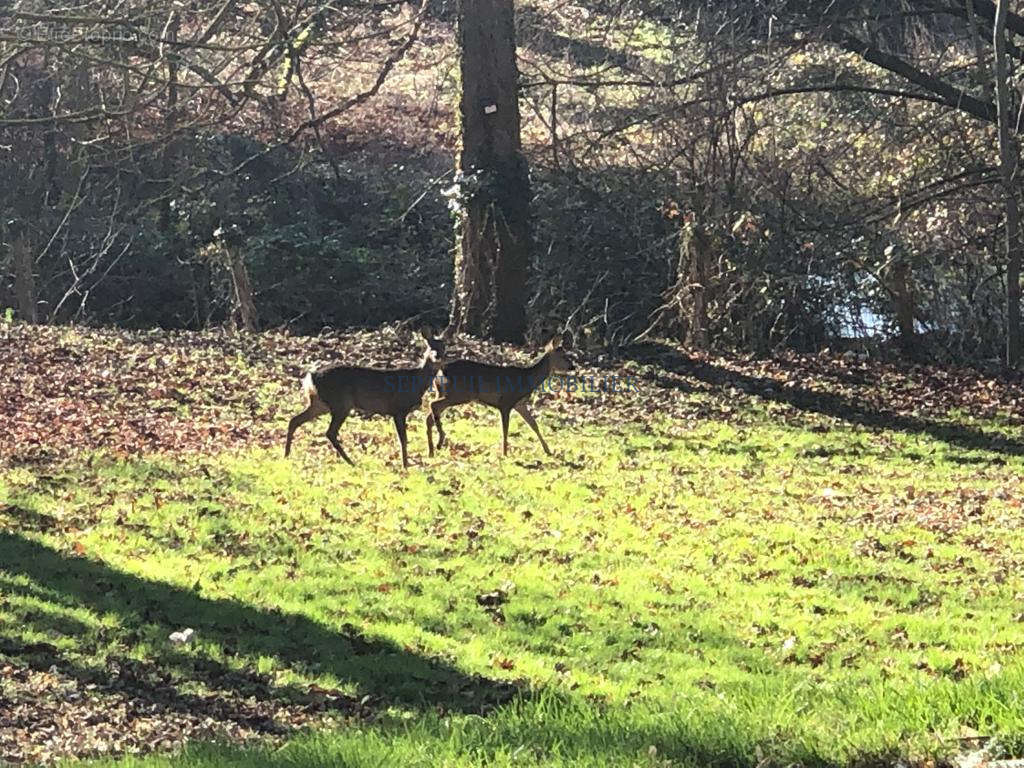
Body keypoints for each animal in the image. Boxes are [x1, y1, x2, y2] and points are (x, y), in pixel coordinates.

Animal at [288, 331, 448, 468]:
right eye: (430, 346)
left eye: (443, 346)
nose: (437, 356)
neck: (416, 383)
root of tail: (311, 377)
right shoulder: (398, 409)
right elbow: (403, 439)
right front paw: (405, 465)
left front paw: (406, 463)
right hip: (340, 403)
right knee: (329, 432)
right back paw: (351, 462)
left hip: (320, 403)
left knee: (295, 420)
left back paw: (287, 455)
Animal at [425, 335, 577, 456]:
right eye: (564, 356)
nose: (572, 367)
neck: (527, 380)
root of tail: (440, 371)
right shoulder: (506, 402)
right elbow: (505, 429)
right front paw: (504, 453)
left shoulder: (519, 404)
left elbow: (534, 425)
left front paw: (548, 450)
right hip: (460, 393)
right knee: (433, 405)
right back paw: (440, 441)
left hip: (445, 392)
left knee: (430, 415)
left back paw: (431, 450)